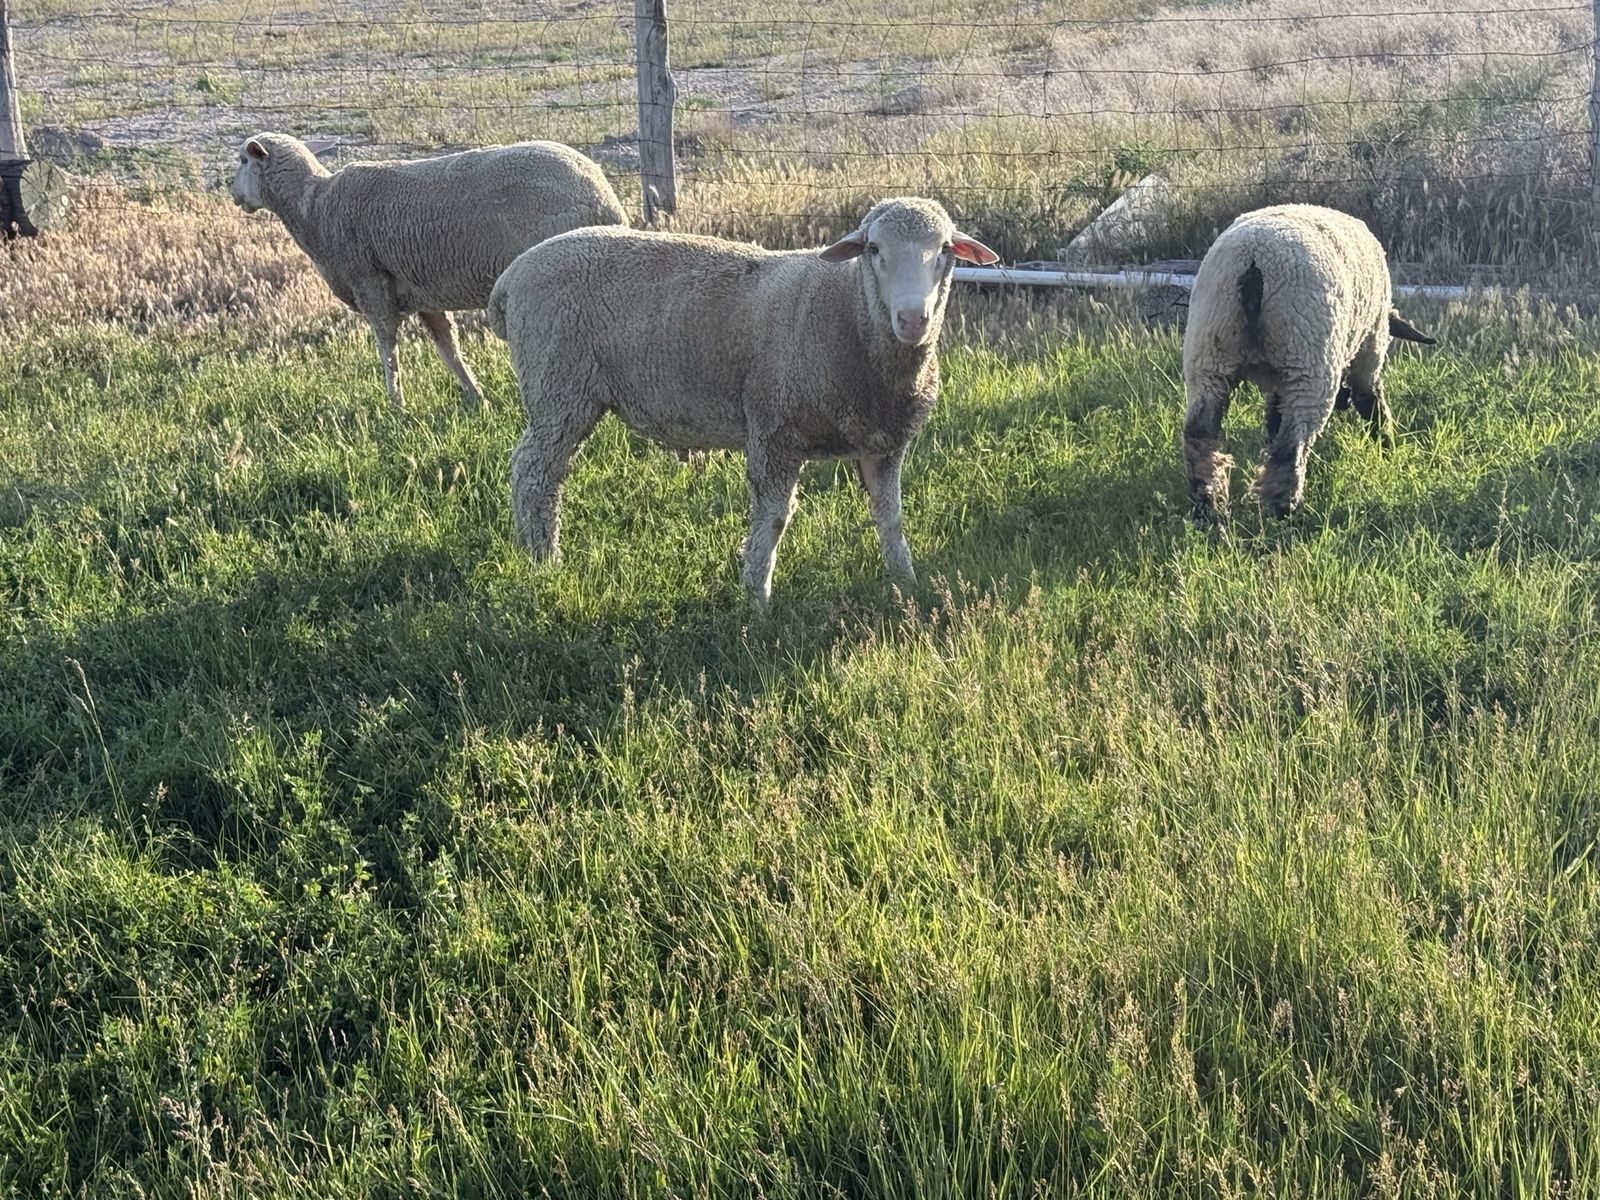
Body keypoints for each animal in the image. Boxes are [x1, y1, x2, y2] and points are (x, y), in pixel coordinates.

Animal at [228, 133, 628, 409]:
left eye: (243, 161)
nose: (232, 194)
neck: (313, 207)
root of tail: (604, 199)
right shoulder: (422, 294)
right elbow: (448, 349)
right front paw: (476, 397)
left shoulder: (371, 284)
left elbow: (387, 349)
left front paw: (396, 405)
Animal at [488, 196, 999, 606]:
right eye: (874, 250)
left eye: (946, 250)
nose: (913, 318)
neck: (848, 310)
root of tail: (512, 276)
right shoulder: (774, 429)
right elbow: (773, 520)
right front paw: (757, 598)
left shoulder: (884, 443)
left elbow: (890, 518)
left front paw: (905, 582)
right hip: (559, 386)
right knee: (533, 472)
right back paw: (542, 559)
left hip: (563, 391)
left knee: (543, 472)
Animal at [1181, 203, 1436, 518]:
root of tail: (1253, 264)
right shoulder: (1370, 346)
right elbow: (1372, 403)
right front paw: (1387, 450)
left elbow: (1273, 420)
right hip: (1308, 363)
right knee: (1291, 448)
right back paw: (1283, 511)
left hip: (1209, 355)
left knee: (1199, 435)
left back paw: (1208, 507)